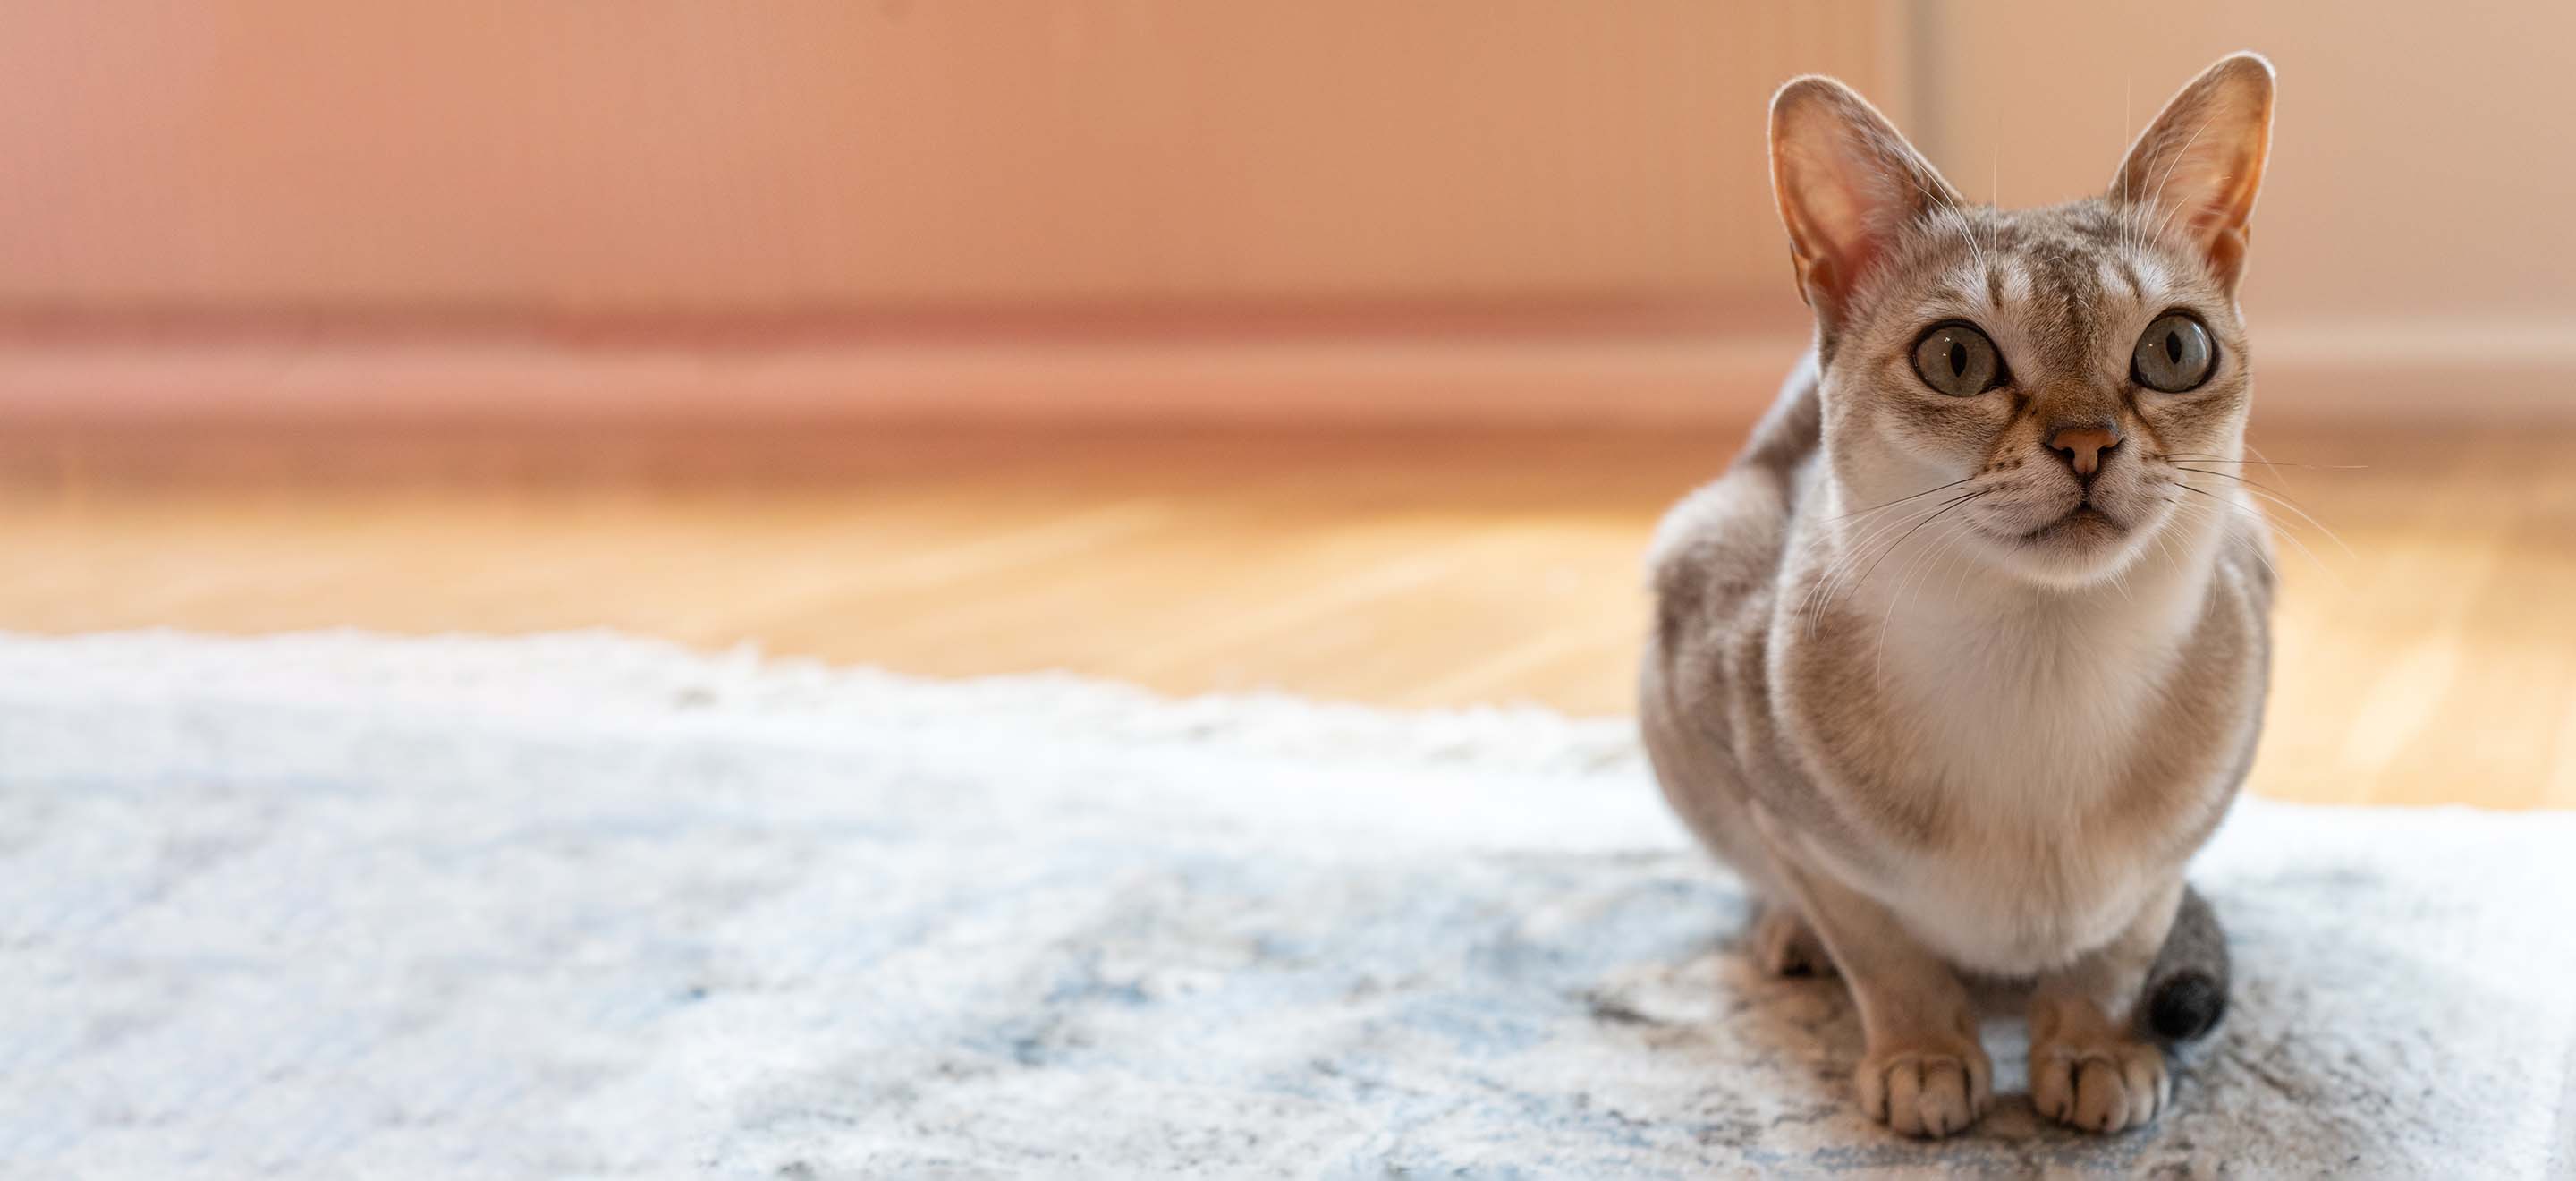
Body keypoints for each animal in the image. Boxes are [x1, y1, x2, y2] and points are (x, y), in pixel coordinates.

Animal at [1648, 50, 2276, 1139]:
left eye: (2175, 350)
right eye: (1956, 359)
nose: (2087, 442)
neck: (2045, 677)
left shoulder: (2175, 851)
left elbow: (2116, 953)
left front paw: (2093, 1051)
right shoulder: (1787, 817)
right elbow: (1885, 955)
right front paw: (1927, 1061)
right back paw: (1789, 937)